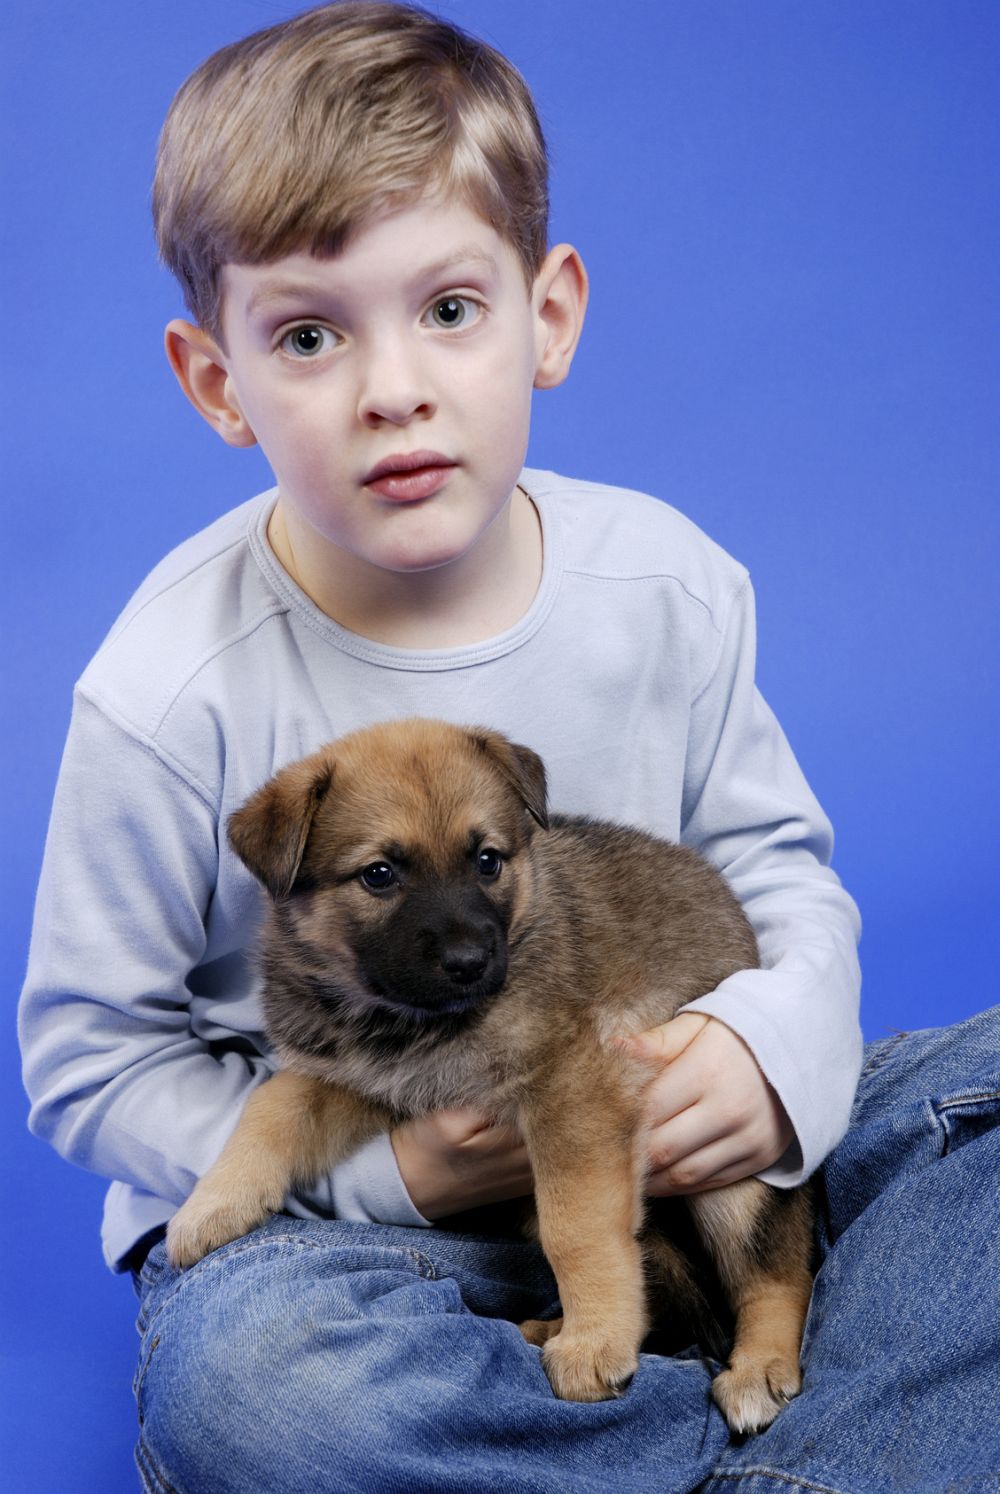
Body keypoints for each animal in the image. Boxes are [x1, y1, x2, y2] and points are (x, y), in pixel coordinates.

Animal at [167, 718, 813, 1432]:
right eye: (379, 875)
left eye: (487, 861)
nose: (470, 962)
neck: (406, 1021)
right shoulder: (364, 1081)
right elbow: (273, 1104)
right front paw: (212, 1205)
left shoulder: (573, 1093)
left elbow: (578, 1226)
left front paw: (596, 1342)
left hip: (735, 1178)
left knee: (778, 1271)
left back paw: (758, 1367)